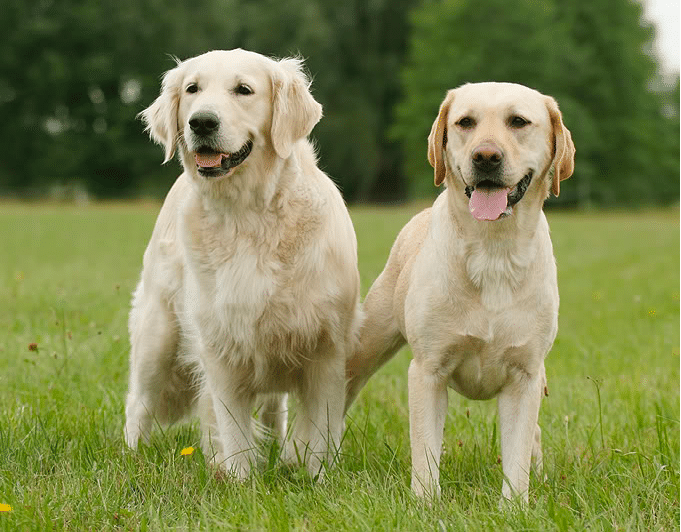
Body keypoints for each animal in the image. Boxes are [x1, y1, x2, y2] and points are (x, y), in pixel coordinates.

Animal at [125, 48, 364, 478]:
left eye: (244, 90)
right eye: (192, 88)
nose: (201, 121)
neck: (247, 217)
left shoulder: (326, 347)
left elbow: (320, 429)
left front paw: (317, 478)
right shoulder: (221, 346)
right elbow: (233, 430)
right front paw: (239, 482)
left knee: (274, 411)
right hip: (159, 336)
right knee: (138, 404)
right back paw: (134, 456)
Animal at [346, 81, 572, 500]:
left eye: (519, 121)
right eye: (465, 122)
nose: (485, 157)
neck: (493, 251)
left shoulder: (525, 375)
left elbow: (517, 458)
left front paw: (515, 506)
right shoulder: (428, 371)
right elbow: (425, 453)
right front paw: (424, 504)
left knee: (533, 437)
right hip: (368, 344)